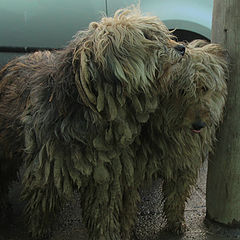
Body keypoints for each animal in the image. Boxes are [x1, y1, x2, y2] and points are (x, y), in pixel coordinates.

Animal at [0, 6, 186, 239]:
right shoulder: (46, 174)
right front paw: (39, 232)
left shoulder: (103, 178)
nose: (182, 47)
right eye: (147, 37)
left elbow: (102, 215)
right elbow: (41, 211)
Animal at [136, 39, 228, 234]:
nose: (198, 125)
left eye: (204, 88)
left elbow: (176, 196)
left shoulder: (184, 164)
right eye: (182, 91)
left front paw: (176, 221)